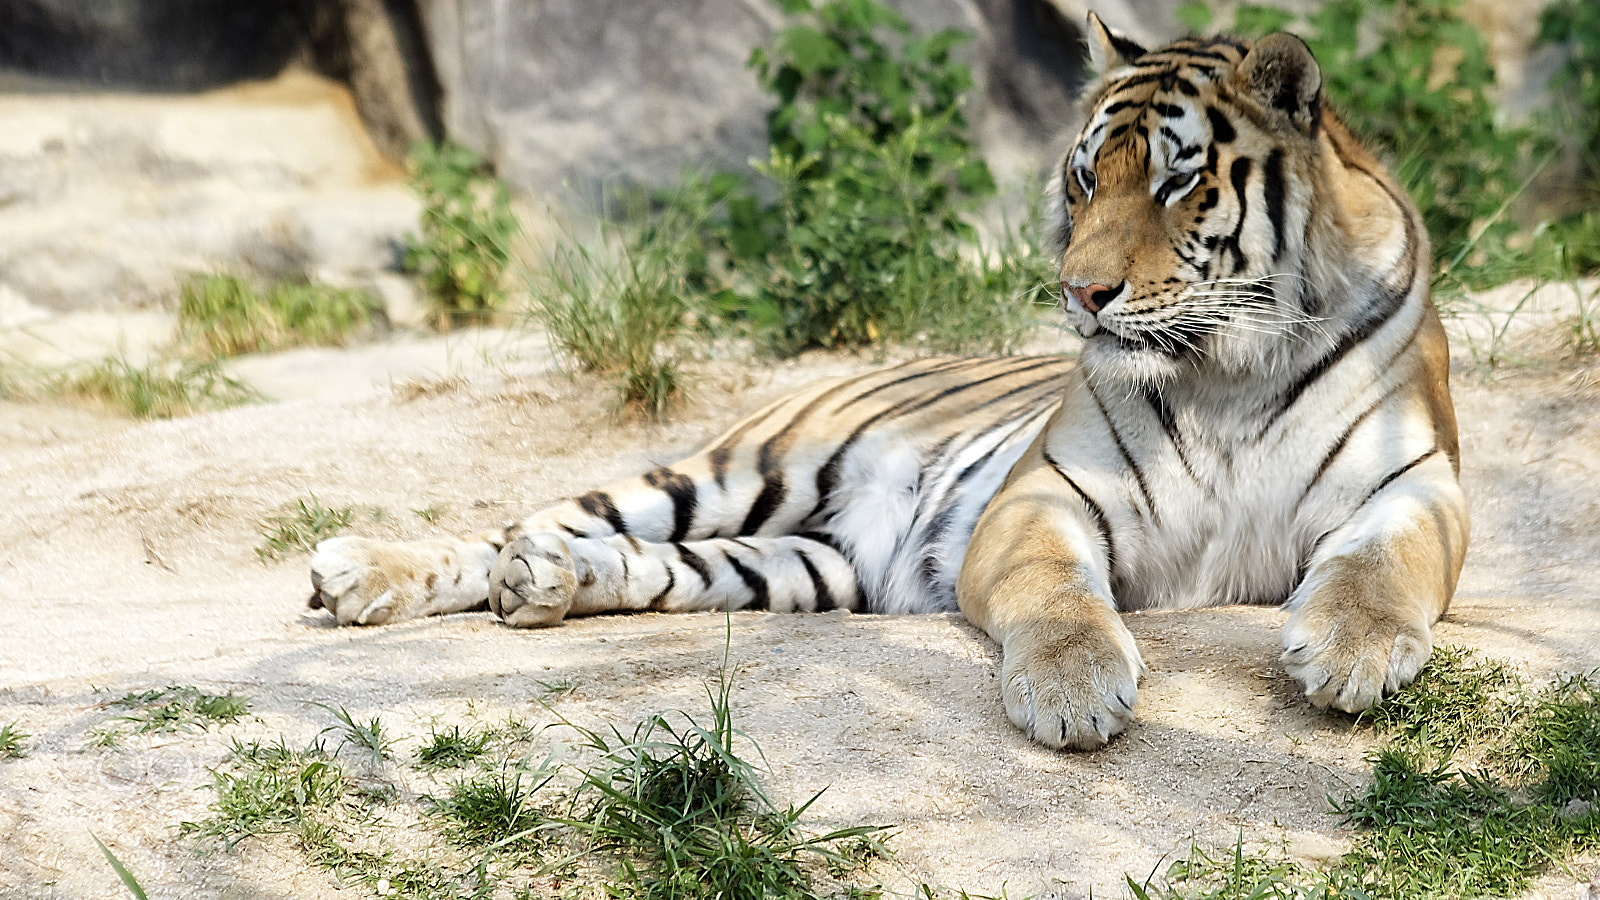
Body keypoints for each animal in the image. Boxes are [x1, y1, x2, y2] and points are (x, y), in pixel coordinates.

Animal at [308, 15, 1468, 751]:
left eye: (1178, 181)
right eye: (1085, 177)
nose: (1080, 291)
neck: (1225, 367)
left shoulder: (1416, 486)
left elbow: (1382, 566)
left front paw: (1352, 654)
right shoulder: (1045, 495)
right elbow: (1056, 591)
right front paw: (1070, 691)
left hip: (804, 565)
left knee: (636, 561)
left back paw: (545, 584)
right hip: (745, 469)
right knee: (525, 519)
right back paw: (363, 573)